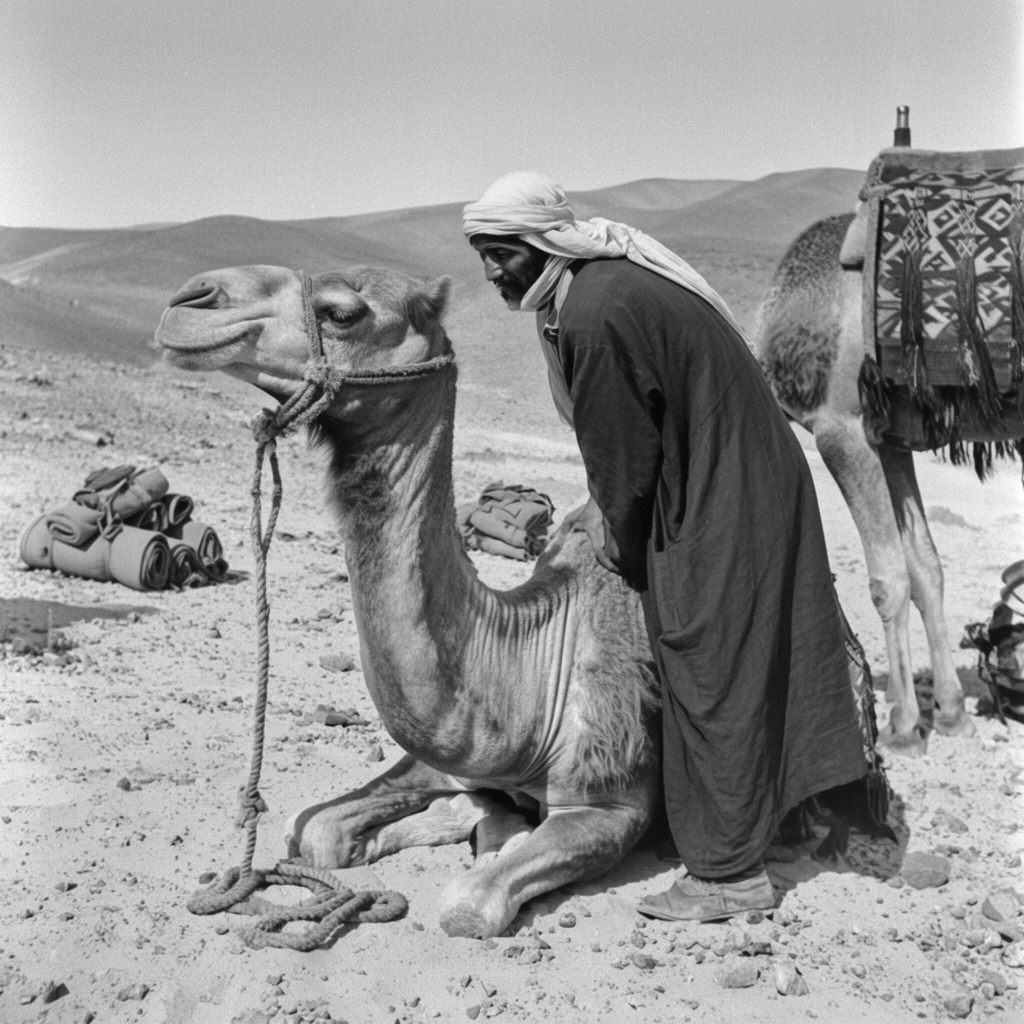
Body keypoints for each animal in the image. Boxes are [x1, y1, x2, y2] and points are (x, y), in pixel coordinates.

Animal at [156, 264, 661, 939]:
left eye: (342, 312)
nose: (190, 300)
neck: (532, 674)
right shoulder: (454, 755)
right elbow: (312, 831)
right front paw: (479, 815)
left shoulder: (613, 802)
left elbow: (467, 907)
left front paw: (493, 835)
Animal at [753, 213, 1023, 755]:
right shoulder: (893, 437)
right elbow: (925, 567)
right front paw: (950, 714)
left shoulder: (842, 428)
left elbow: (888, 578)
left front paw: (903, 727)